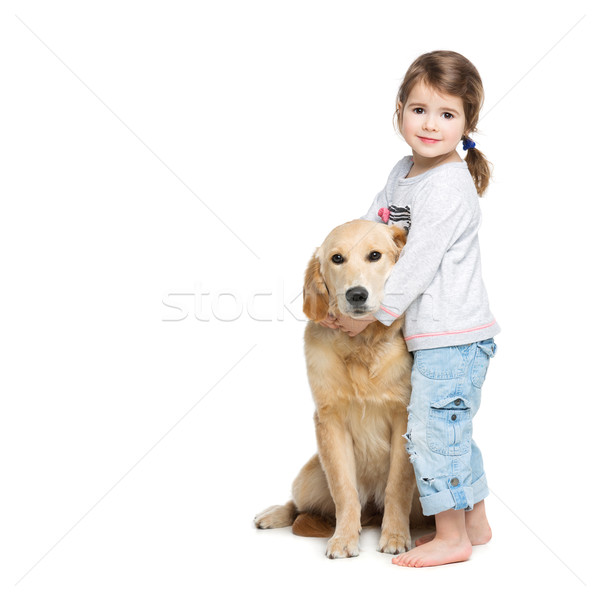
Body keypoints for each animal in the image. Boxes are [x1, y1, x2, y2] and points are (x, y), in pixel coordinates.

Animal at [253, 220, 426, 556]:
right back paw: (274, 514)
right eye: (337, 259)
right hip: (309, 477)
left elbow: (397, 486)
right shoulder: (329, 420)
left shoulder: (403, 417)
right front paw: (344, 538)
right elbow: (344, 489)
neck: (362, 345)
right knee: (299, 503)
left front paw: (395, 536)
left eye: (375, 255)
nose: (356, 294)